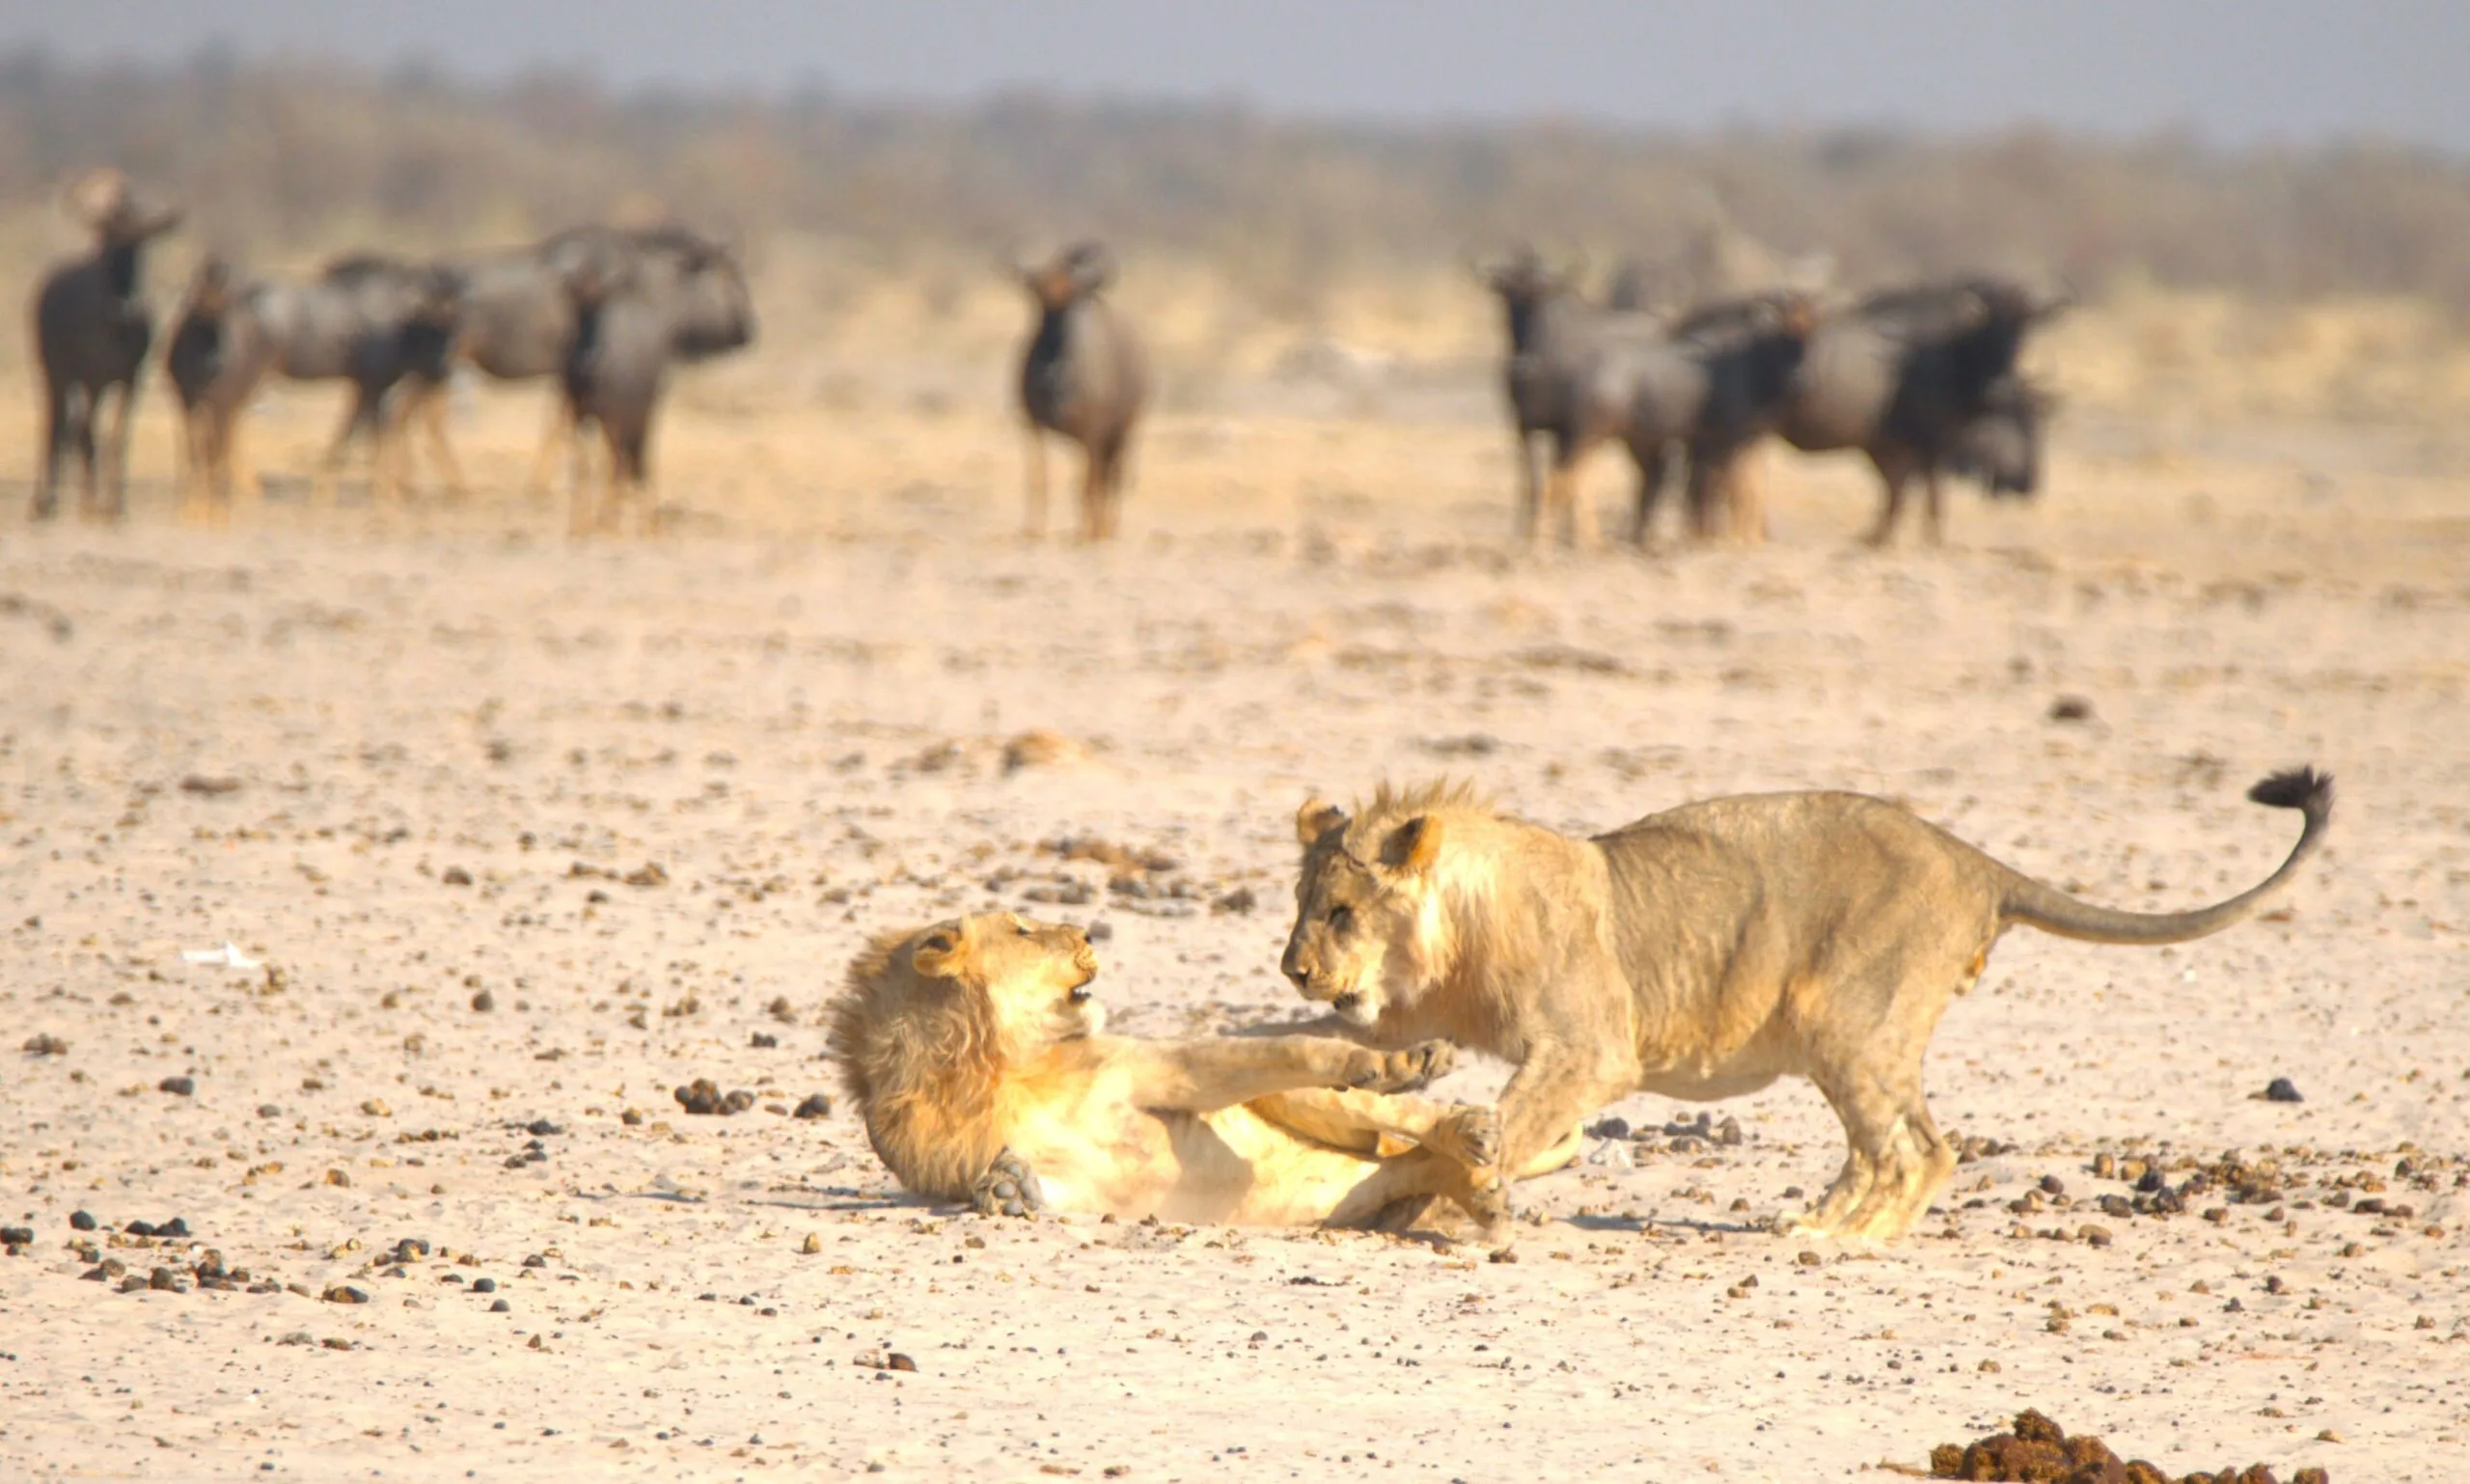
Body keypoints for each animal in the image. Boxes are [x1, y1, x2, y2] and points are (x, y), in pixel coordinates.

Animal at [826, 912, 1507, 1228]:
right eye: (1022, 929)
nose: (1088, 933)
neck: (1005, 1066)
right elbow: (1040, 1189)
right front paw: (1010, 1189)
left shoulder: (1165, 1068)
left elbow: (1300, 1051)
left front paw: (1392, 1062)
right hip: (1342, 1195)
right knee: (1408, 1171)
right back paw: (1485, 1196)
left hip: (1318, 1108)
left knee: (1401, 1121)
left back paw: (1465, 1121)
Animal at [1278, 768, 2333, 1243]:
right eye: (1298, 903)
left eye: (1340, 910)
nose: (1291, 969)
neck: (1462, 927)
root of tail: (1973, 862)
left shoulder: (1589, 1051)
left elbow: (1499, 1131)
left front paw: (1456, 1203)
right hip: (1865, 1036)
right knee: (1918, 1144)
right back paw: (1833, 1223)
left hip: (1848, 1020)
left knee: (1912, 1149)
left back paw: (1836, 1235)